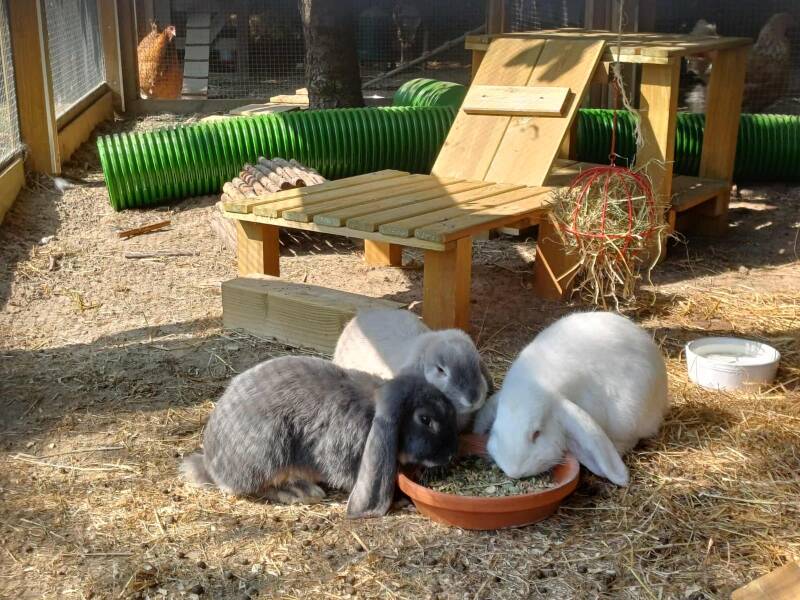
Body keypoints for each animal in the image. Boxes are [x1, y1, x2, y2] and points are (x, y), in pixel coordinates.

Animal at [180, 355, 458, 518]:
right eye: (425, 419)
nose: (450, 454)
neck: (372, 410)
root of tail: (210, 465)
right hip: (268, 449)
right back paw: (301, 492)